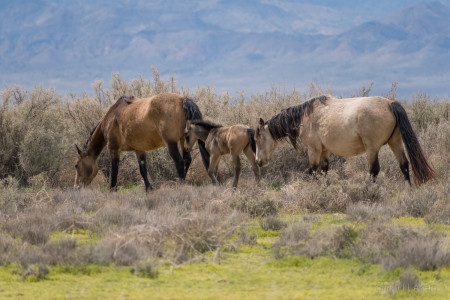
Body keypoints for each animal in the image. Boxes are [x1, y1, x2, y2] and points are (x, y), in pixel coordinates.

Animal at [74, 93, 210, 192]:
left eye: (76, 165)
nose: (76, 187)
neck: (111, 119)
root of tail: (182, 100)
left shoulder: (114, 149)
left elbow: (114, 170)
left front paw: (112, 190)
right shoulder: (139, 150)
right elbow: (143, 169)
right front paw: (149, 189)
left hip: (171, 143)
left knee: (179, 161)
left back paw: (180, 185)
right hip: (183, 140)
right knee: (187, 160)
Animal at [256, 95, 436, 188]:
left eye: (258, 139)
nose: (258, 162)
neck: (304, 116)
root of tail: (390, 103)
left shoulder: (314, 150)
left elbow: (313, 171)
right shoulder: (325, 151)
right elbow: (324, 171)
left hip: (372, 149)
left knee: (374, 170)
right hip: (395, 142)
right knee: (404, 165)